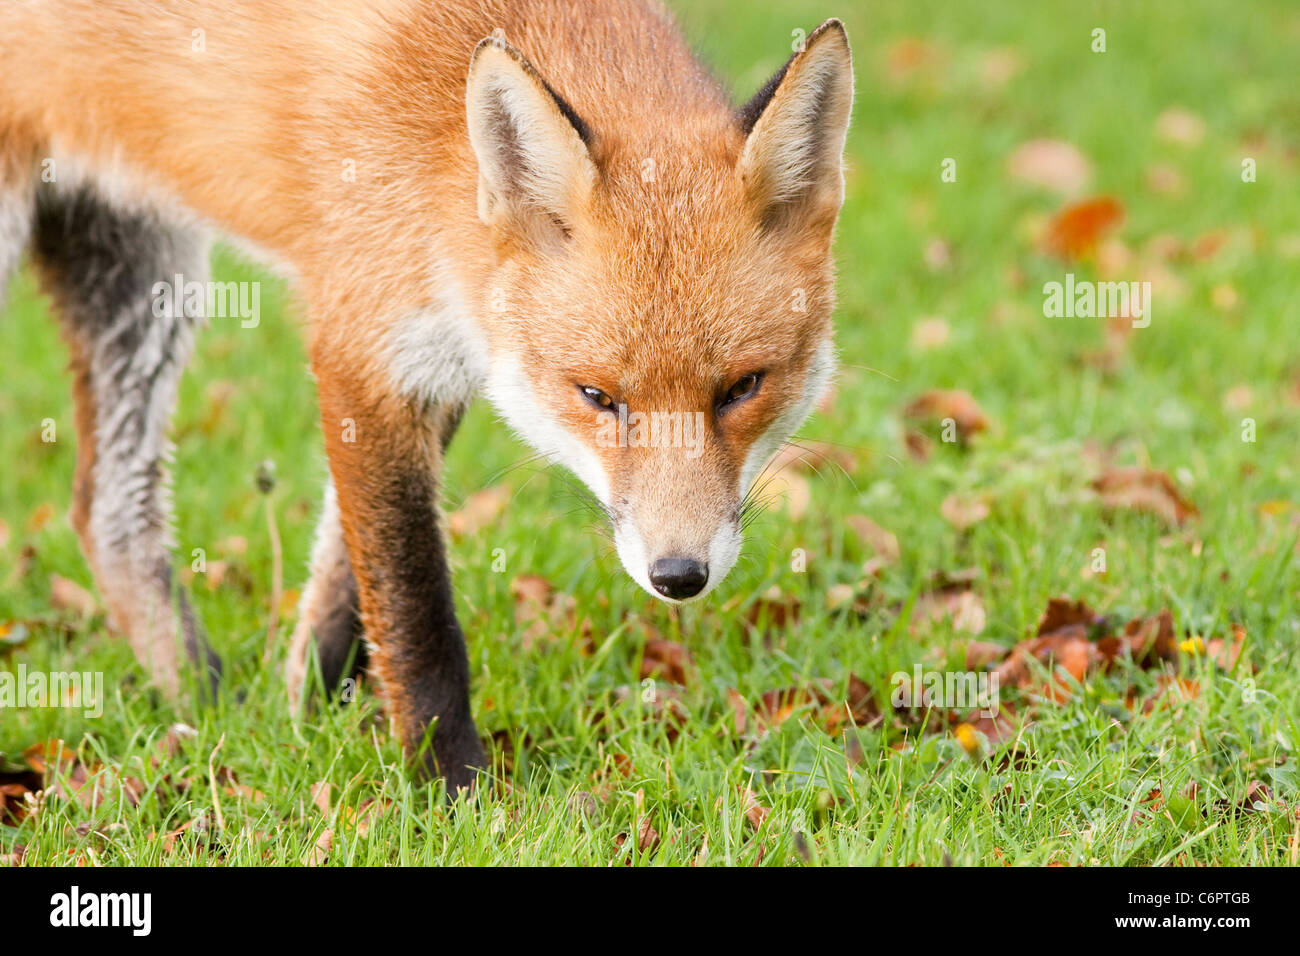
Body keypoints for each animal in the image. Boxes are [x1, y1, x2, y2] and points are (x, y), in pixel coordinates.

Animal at [0, 0, 852, 790]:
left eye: (741, 387)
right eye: (596, 395)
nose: (679, 576)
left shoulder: (435, 358)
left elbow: (342, 585)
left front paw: (305, 721)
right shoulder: (363, 345)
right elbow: (415, 610)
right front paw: (450, 787)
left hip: (139, 267)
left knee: (105, 512)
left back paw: (203, 707)